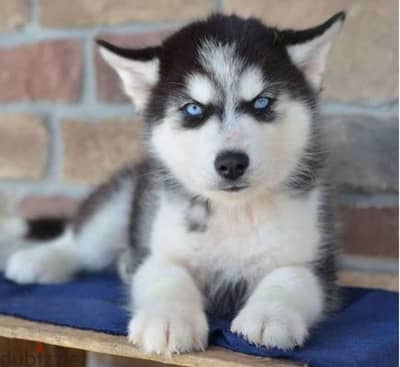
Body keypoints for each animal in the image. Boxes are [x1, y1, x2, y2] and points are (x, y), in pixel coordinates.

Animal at [3, 12, 344, 356]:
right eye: (193, 108)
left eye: (261, 102)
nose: (232, 163)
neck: (232, 212)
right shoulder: (158, 247)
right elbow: (167, 274)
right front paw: (168, 319)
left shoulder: (317, 263)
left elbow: (290, 275)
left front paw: (268, 316)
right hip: (122, 202)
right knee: (80, 242)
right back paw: (37, 260)